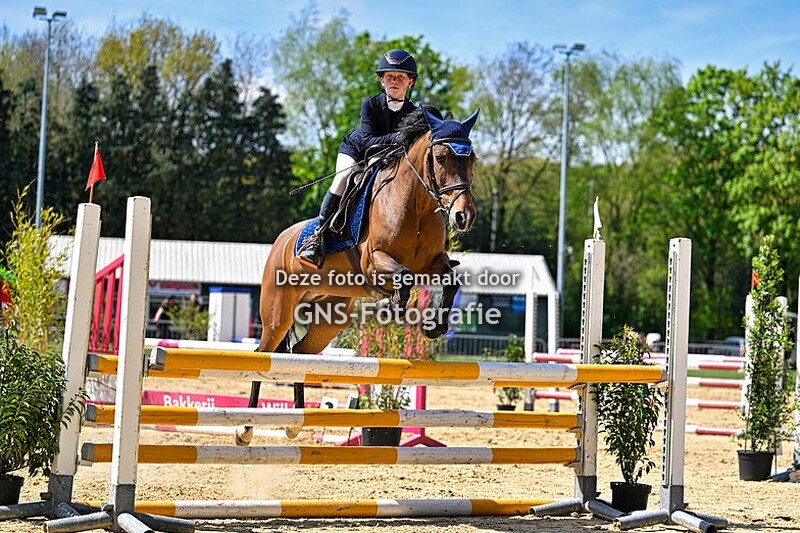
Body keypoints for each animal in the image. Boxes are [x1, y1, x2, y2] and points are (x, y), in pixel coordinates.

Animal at [235, 107, 479, 445]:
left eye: (472, 160)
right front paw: (394, 307)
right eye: (441, 157)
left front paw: (434, 327)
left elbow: (450, 281)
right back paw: (245, 428)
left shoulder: (433, 263)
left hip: (329, 318)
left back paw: (294, 424)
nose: (463, 216)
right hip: (277, 313)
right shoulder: (373, 261)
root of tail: (281, 241)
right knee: (263, 354)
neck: (415, 203)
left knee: (299, 354)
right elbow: (403, 277)